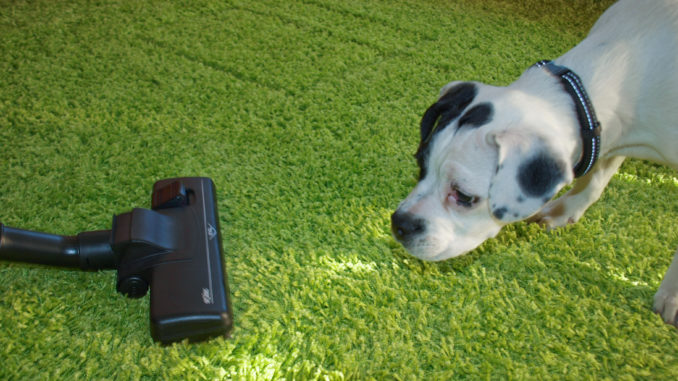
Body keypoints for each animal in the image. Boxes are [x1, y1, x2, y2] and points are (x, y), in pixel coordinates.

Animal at [390, 0, 678, 326]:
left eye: (464, 196)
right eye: (421, 166)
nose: (399, 224)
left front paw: (672, 295)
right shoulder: (606, 136)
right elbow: (596, 177)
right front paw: (566, 210)